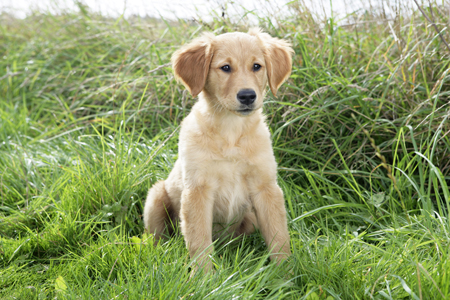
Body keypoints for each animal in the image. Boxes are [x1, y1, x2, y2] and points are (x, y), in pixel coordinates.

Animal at [142, 28, 294, 272]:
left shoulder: (266, 187)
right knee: (157, 238)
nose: (247, 96)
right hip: (155, 197)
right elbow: (199, 241)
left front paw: (286, 273)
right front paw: (203, 277)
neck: (231, 131)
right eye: (225, 68)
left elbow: (279, 236)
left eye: (257, 66)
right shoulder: (197, 190)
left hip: (250, 218)